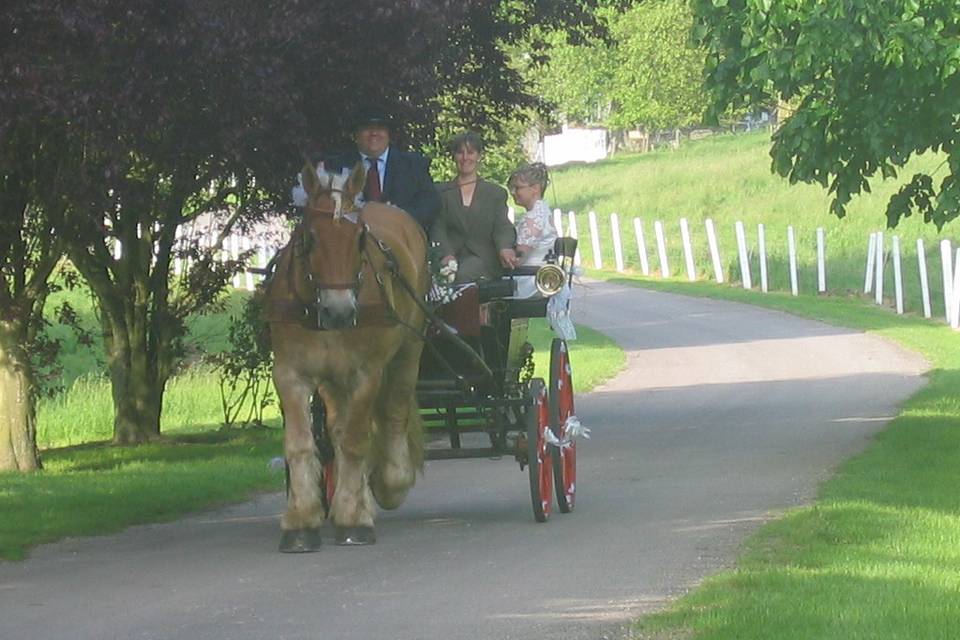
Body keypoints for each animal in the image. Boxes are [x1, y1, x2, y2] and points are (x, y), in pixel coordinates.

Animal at [262, 160, 428, 552]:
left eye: (359, 240)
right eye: (310, 238)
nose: (338, 312)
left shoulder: (366, 374)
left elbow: (355, 442)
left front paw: (354, 519)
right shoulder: (291, 374)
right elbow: (301, 444)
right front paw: (301, 520)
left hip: (408, 351)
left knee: (394, 412)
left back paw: (389, 483)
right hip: (331, 379)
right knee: (337, 427)